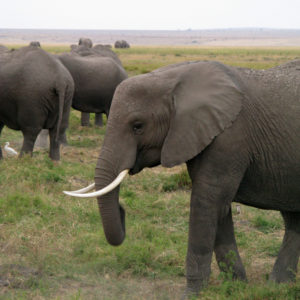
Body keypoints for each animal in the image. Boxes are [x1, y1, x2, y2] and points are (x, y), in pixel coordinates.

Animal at [63, 60, 300, 298]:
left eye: (138, 126)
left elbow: (207, 203)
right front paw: (237, 287)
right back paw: (278, 286)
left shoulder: (229, 138)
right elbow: (219, 210)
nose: (122, 210)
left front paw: (192, 294)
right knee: (293, 220)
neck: (175, 78)